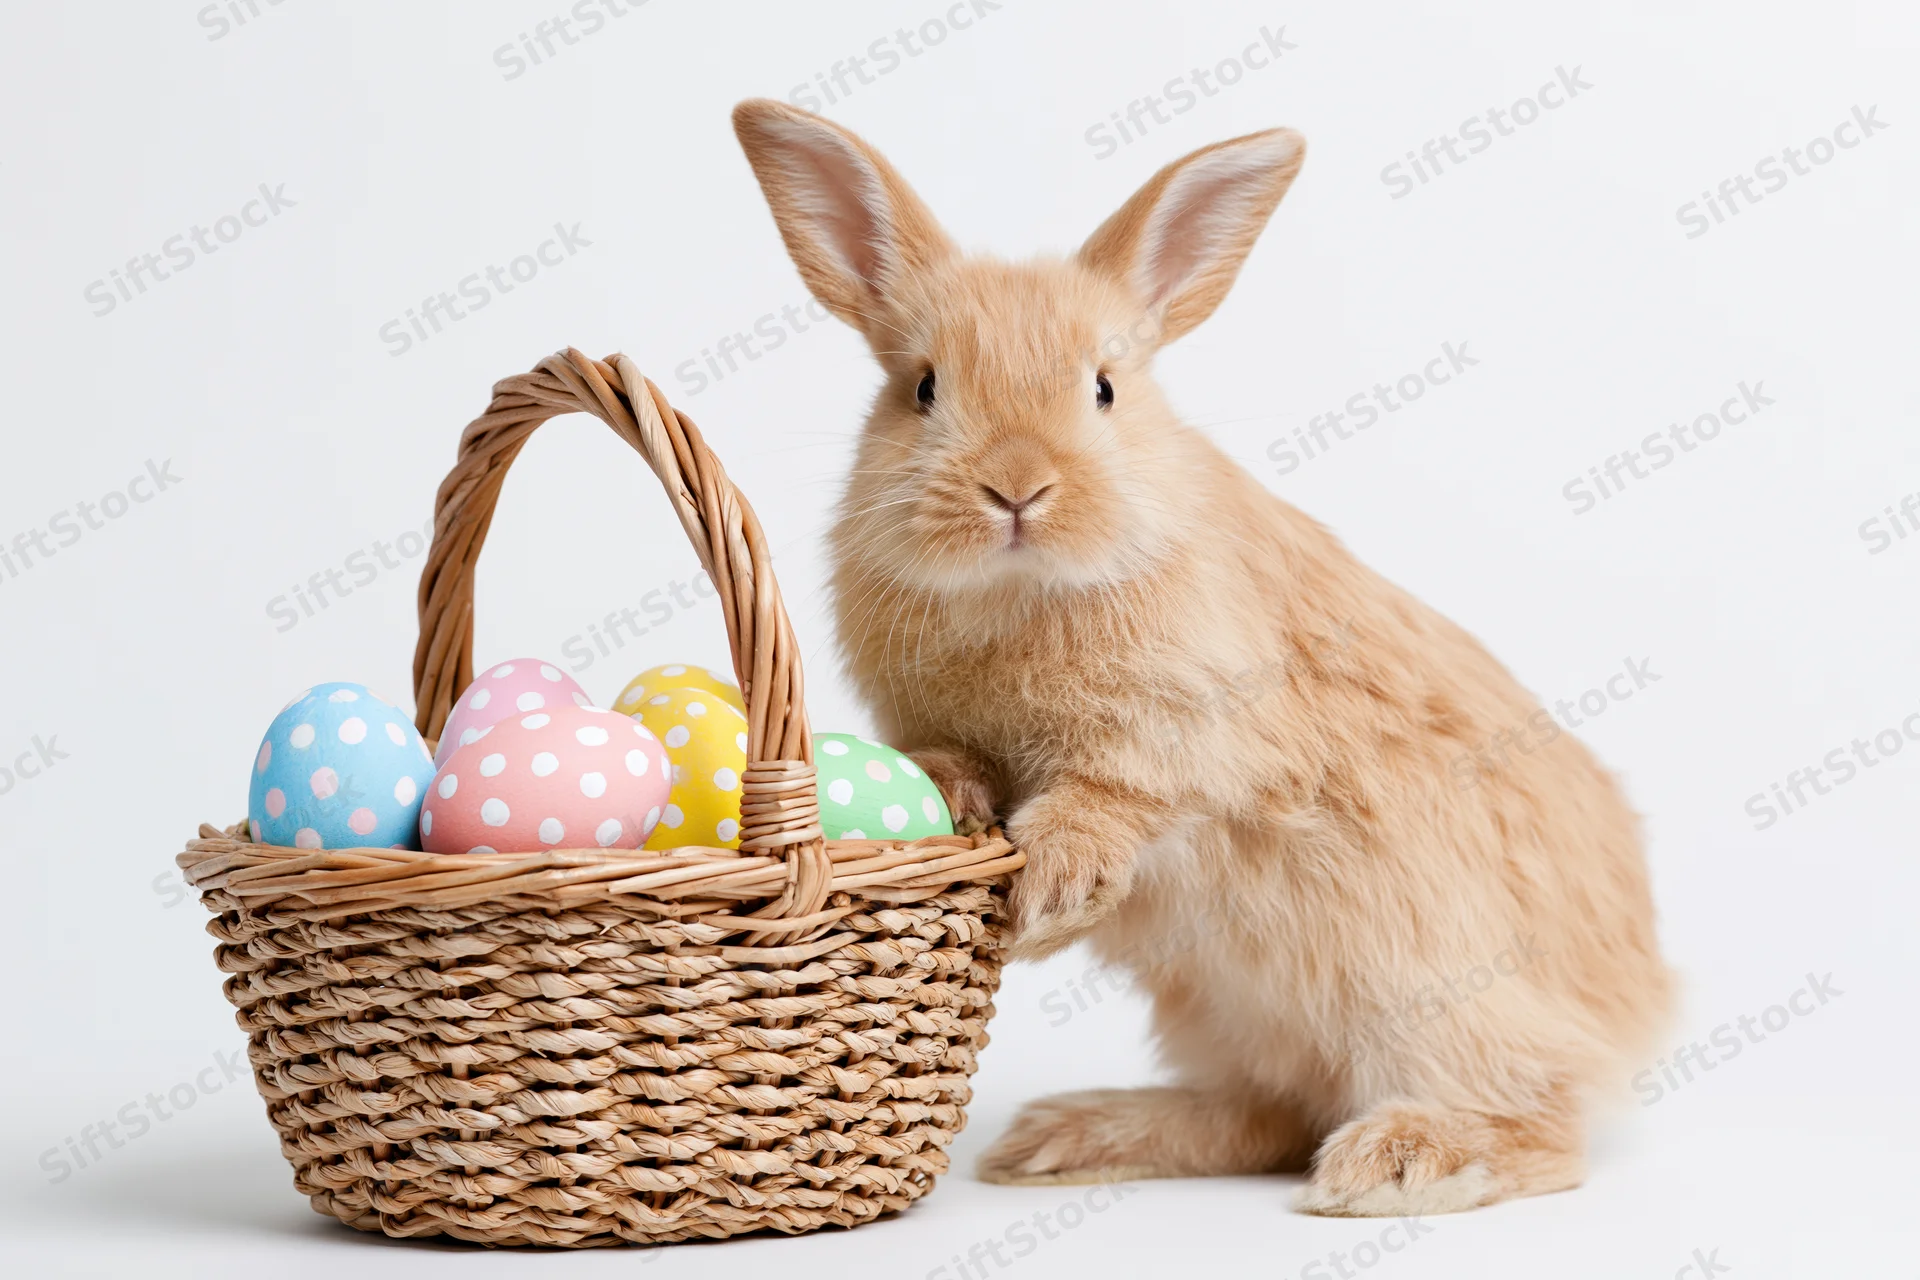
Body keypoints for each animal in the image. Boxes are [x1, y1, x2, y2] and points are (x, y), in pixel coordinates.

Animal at [731, 98, 1671, 1217]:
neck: (1020, 588)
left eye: (1102, 387)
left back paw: (1397, 1160)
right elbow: (948, 763)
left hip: (1433, 991)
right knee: (1268, 1115)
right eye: (921, 388)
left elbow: (1121, 797)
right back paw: (1072, 1138)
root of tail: (1642, 1009)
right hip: (1225, 1016)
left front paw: (1048, 893)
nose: (1017, 487)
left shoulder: (1191, 731)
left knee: (1542, 1126)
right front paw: (956, 806)